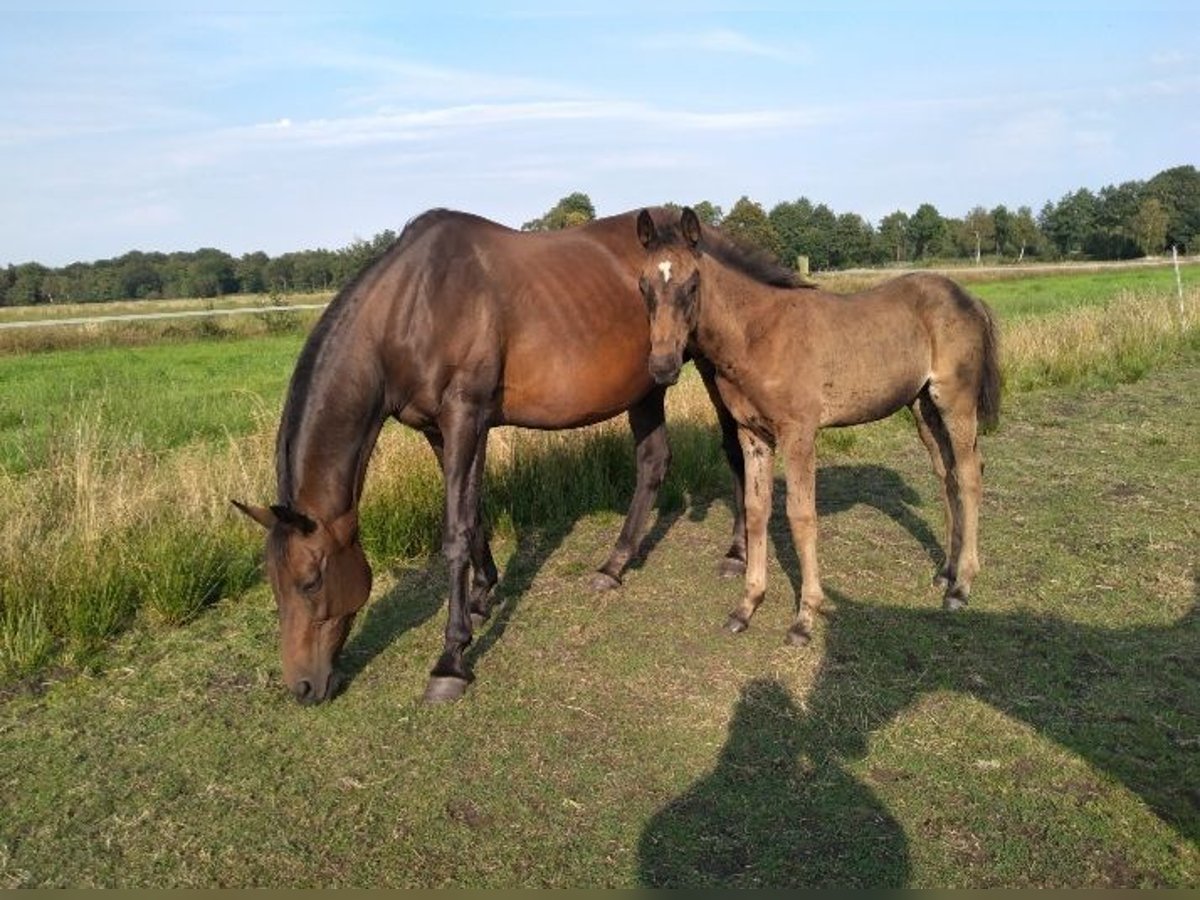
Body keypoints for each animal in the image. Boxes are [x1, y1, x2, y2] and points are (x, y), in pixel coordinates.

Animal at [234, 207, 748, 710]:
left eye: (310, 581)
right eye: (273, 584)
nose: (303, 687)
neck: (413, 307)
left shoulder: (465, 416)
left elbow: (455, 533)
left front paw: (450, 659)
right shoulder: (443, 430)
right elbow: (473, 513)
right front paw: (482, 596)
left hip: (715, 369)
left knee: (738, 452)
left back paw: (737, 555)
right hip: (646, 386)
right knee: (652, 461)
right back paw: (613, 566)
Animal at [638, 210, 1003, 648]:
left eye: (692, 284)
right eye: (642, 285)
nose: (662, 367)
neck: (759, 333)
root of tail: (970, 298)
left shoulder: (798, 435)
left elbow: (800, 516)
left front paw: (805, 617)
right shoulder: (753, 436)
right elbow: (757, 511)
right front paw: (747, 605)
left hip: (956, 402)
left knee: (969, 475)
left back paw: (962, 586)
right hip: (923, 406)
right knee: (945, 475)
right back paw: (946, 572)